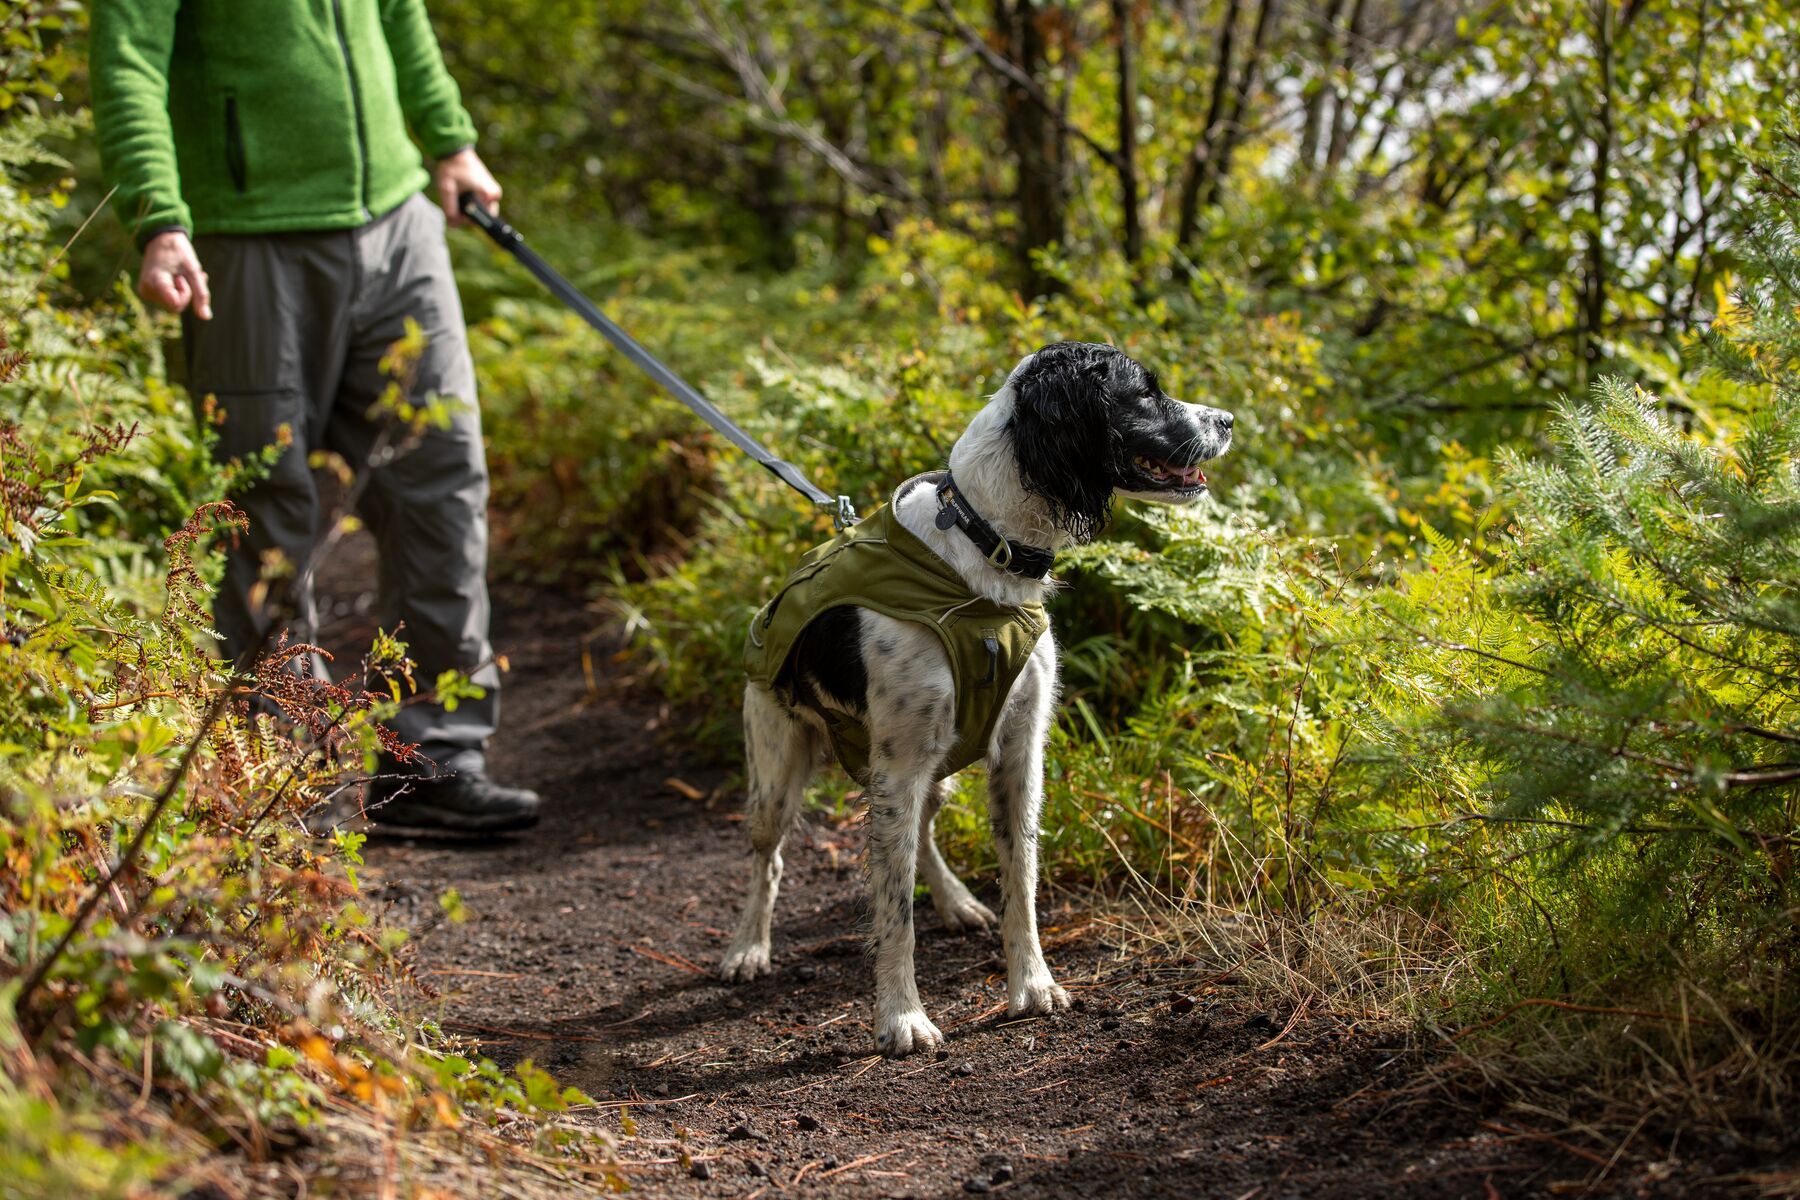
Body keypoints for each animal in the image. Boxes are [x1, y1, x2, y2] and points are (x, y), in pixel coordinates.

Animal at [716, 341, 1238, 1057]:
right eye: (1146, 392)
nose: (1230, 419)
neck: (984, 548)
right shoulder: (899, 767)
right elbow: (894, 909)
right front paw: (902, 1017)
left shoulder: (1018, 752)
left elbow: (1021, 879)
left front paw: (1033, 984)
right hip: (777, 768)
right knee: (768, 859)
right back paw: (748, 946)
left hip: (924, 774)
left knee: (922, 833)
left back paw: (957, 900)